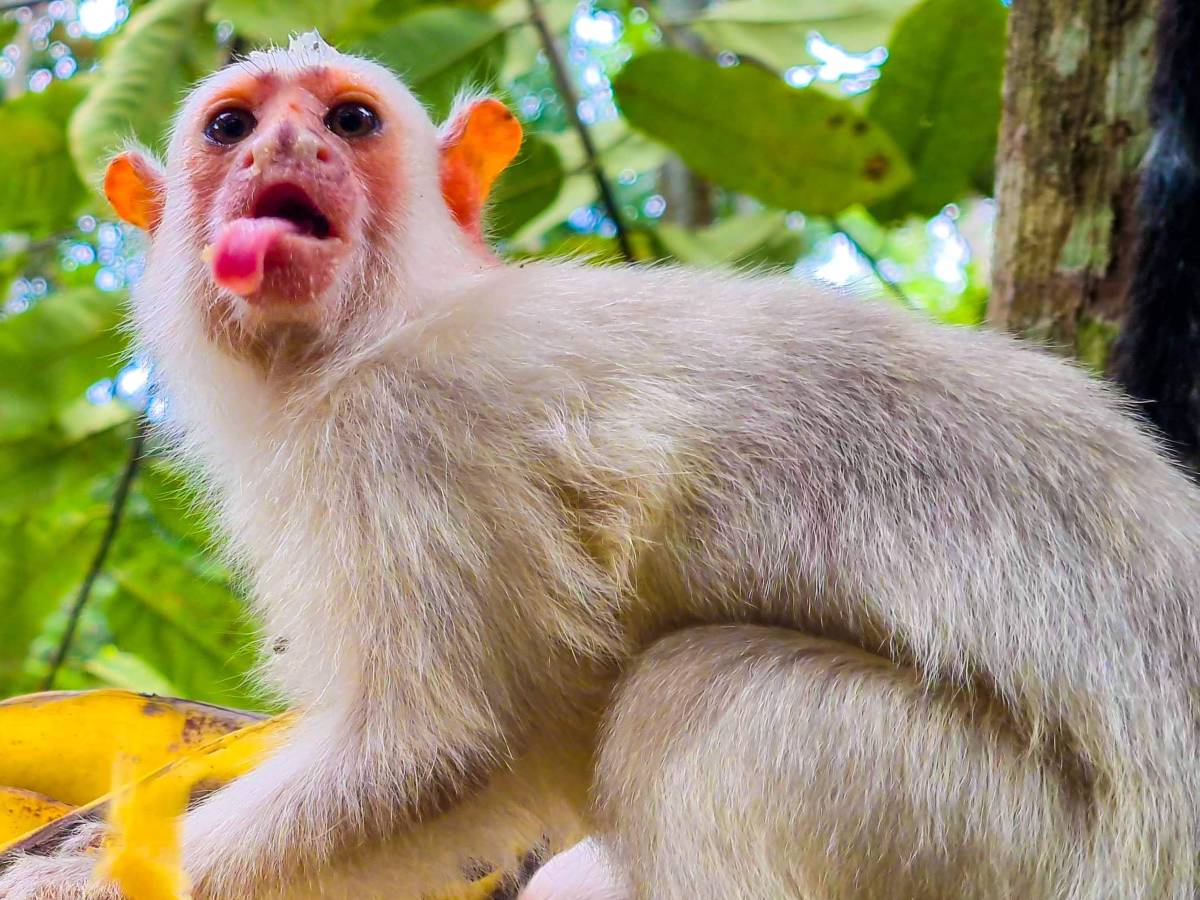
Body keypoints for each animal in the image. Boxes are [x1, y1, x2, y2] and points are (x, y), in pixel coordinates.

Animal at [2, 31, 1199, 900]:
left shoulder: (402, 439)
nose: (282, 153)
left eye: (348, 119)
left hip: (1028, 854)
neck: (370, 334)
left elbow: (438, 754)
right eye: (231, 125)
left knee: (700, 708)